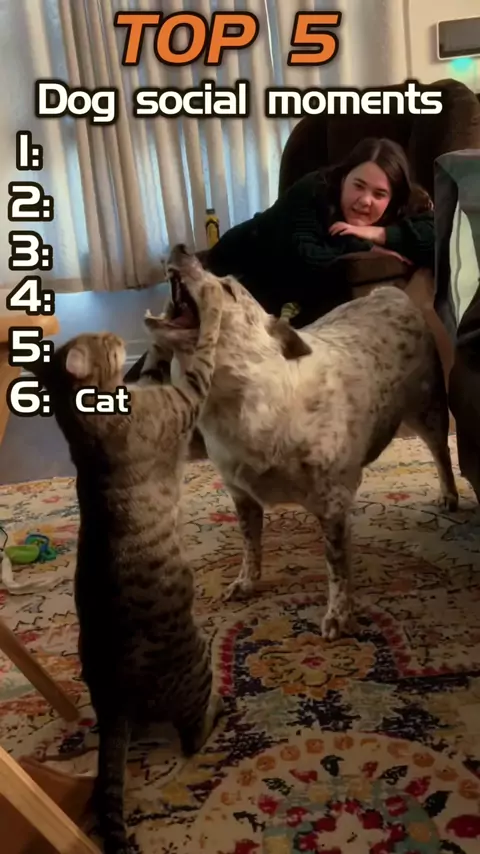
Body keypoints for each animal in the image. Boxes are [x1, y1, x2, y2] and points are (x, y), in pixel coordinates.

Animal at [30, 273, 224, 854]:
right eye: (102, 342)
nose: (117, 336)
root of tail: (111, 700)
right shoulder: (183, 400)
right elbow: (203, 351)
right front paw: (208, 306)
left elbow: (163, 357)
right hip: (194, 662)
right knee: (192, 737)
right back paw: (221, 712)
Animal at [142, 244, 458, 641]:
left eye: (228, 289)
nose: (181, 247)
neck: (238, 403)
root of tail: (387, 293)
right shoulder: (241, 494)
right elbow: (251, 544)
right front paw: (246, 583)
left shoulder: (333, 504)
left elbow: (337, 565)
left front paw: (339, 615)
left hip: (428, 408)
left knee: (441, 452)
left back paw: (449, 494)